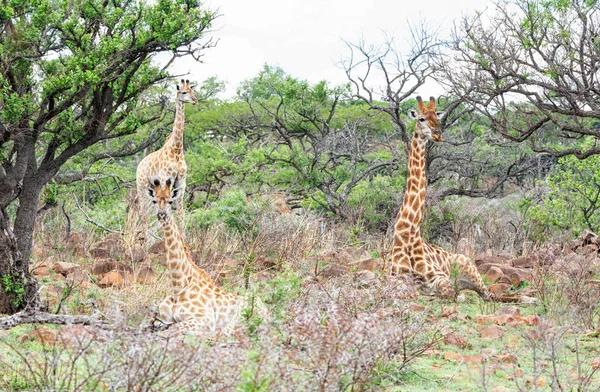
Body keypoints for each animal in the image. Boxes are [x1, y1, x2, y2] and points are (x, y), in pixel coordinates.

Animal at [134, 78, 198, 239]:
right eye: (184, 92)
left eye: (193, 91)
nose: (195, 100)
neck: (176, 150)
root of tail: (139, 165)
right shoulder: (164, 179)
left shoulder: (181, 181)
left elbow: (180, 212)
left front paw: (183, 238)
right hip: (142, 187)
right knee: (143, 212)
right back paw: (145, 239)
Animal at [151, 181, 266, 336]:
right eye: (154, 200)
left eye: (170, 201)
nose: (162, 215)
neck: (179, 285)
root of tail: (267, 311)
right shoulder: (164, 317)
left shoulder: (206, 318)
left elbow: (170, 330)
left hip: (243, 314)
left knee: (224, 333)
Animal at [392, 95, 536, 304]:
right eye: (421, 119)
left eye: (437, 117)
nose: (438, 134)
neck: (407, 233)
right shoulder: (396, 277)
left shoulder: (439, 278)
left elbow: (448, 293)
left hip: (471, 270)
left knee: (491, 296)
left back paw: (531, 299)